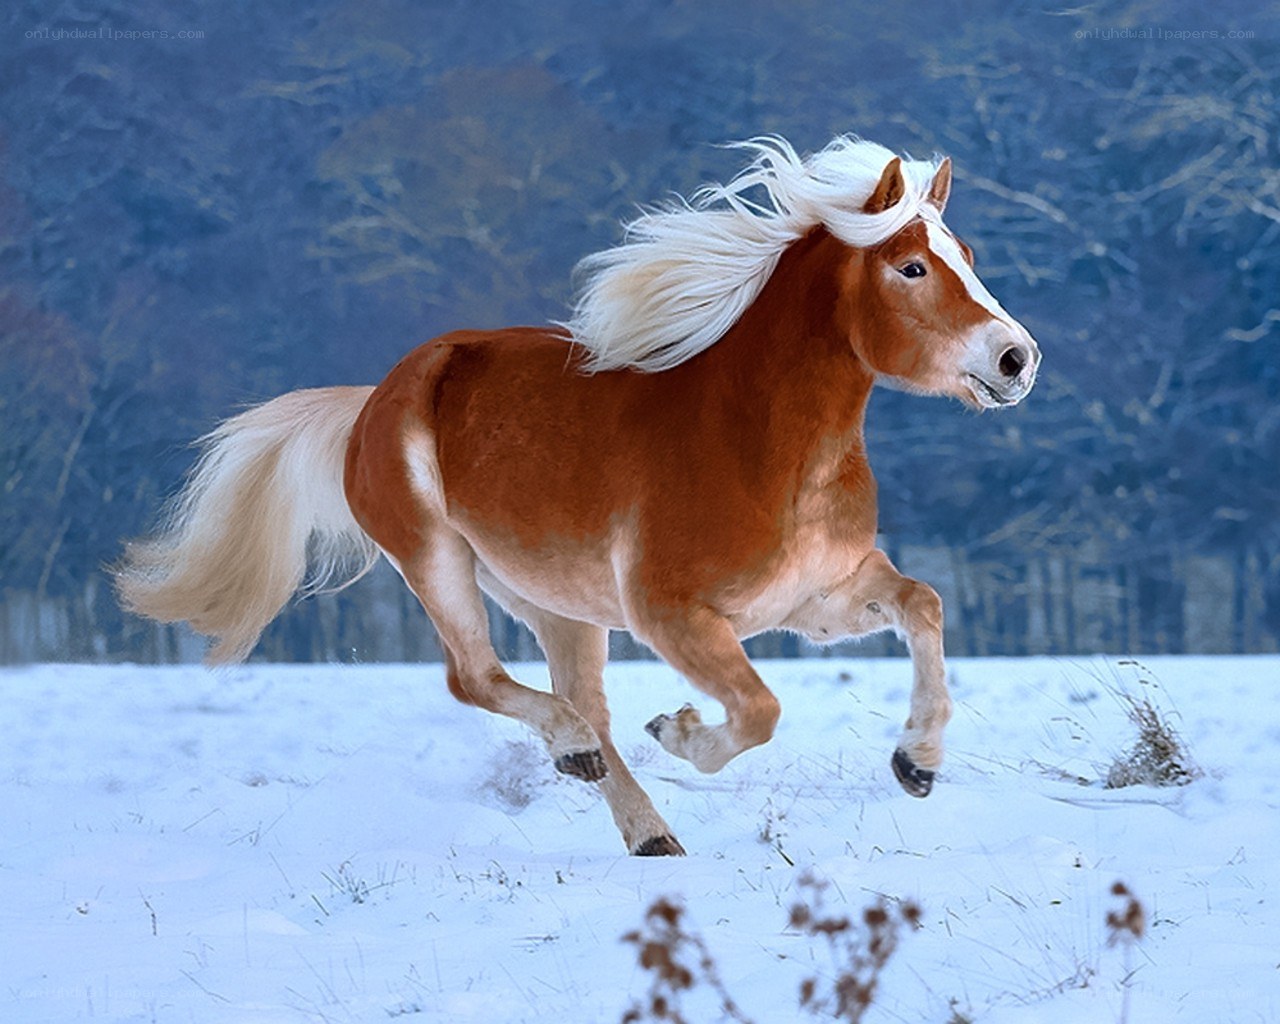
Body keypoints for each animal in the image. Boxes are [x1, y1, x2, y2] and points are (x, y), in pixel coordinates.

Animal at [117, 135, 1040, 856]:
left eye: (967, 258)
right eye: (911, 266)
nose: (1017, 359)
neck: (765, 447)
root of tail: (374, 398)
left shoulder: (815, 599)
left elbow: (923, 605)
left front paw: (916, 763)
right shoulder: (673, 614)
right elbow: (761, 710)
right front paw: (681, 732)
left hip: (558, 604)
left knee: (580, 702)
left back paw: (644, 827)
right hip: (436, 559)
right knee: (480, 679)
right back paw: (580, 757)